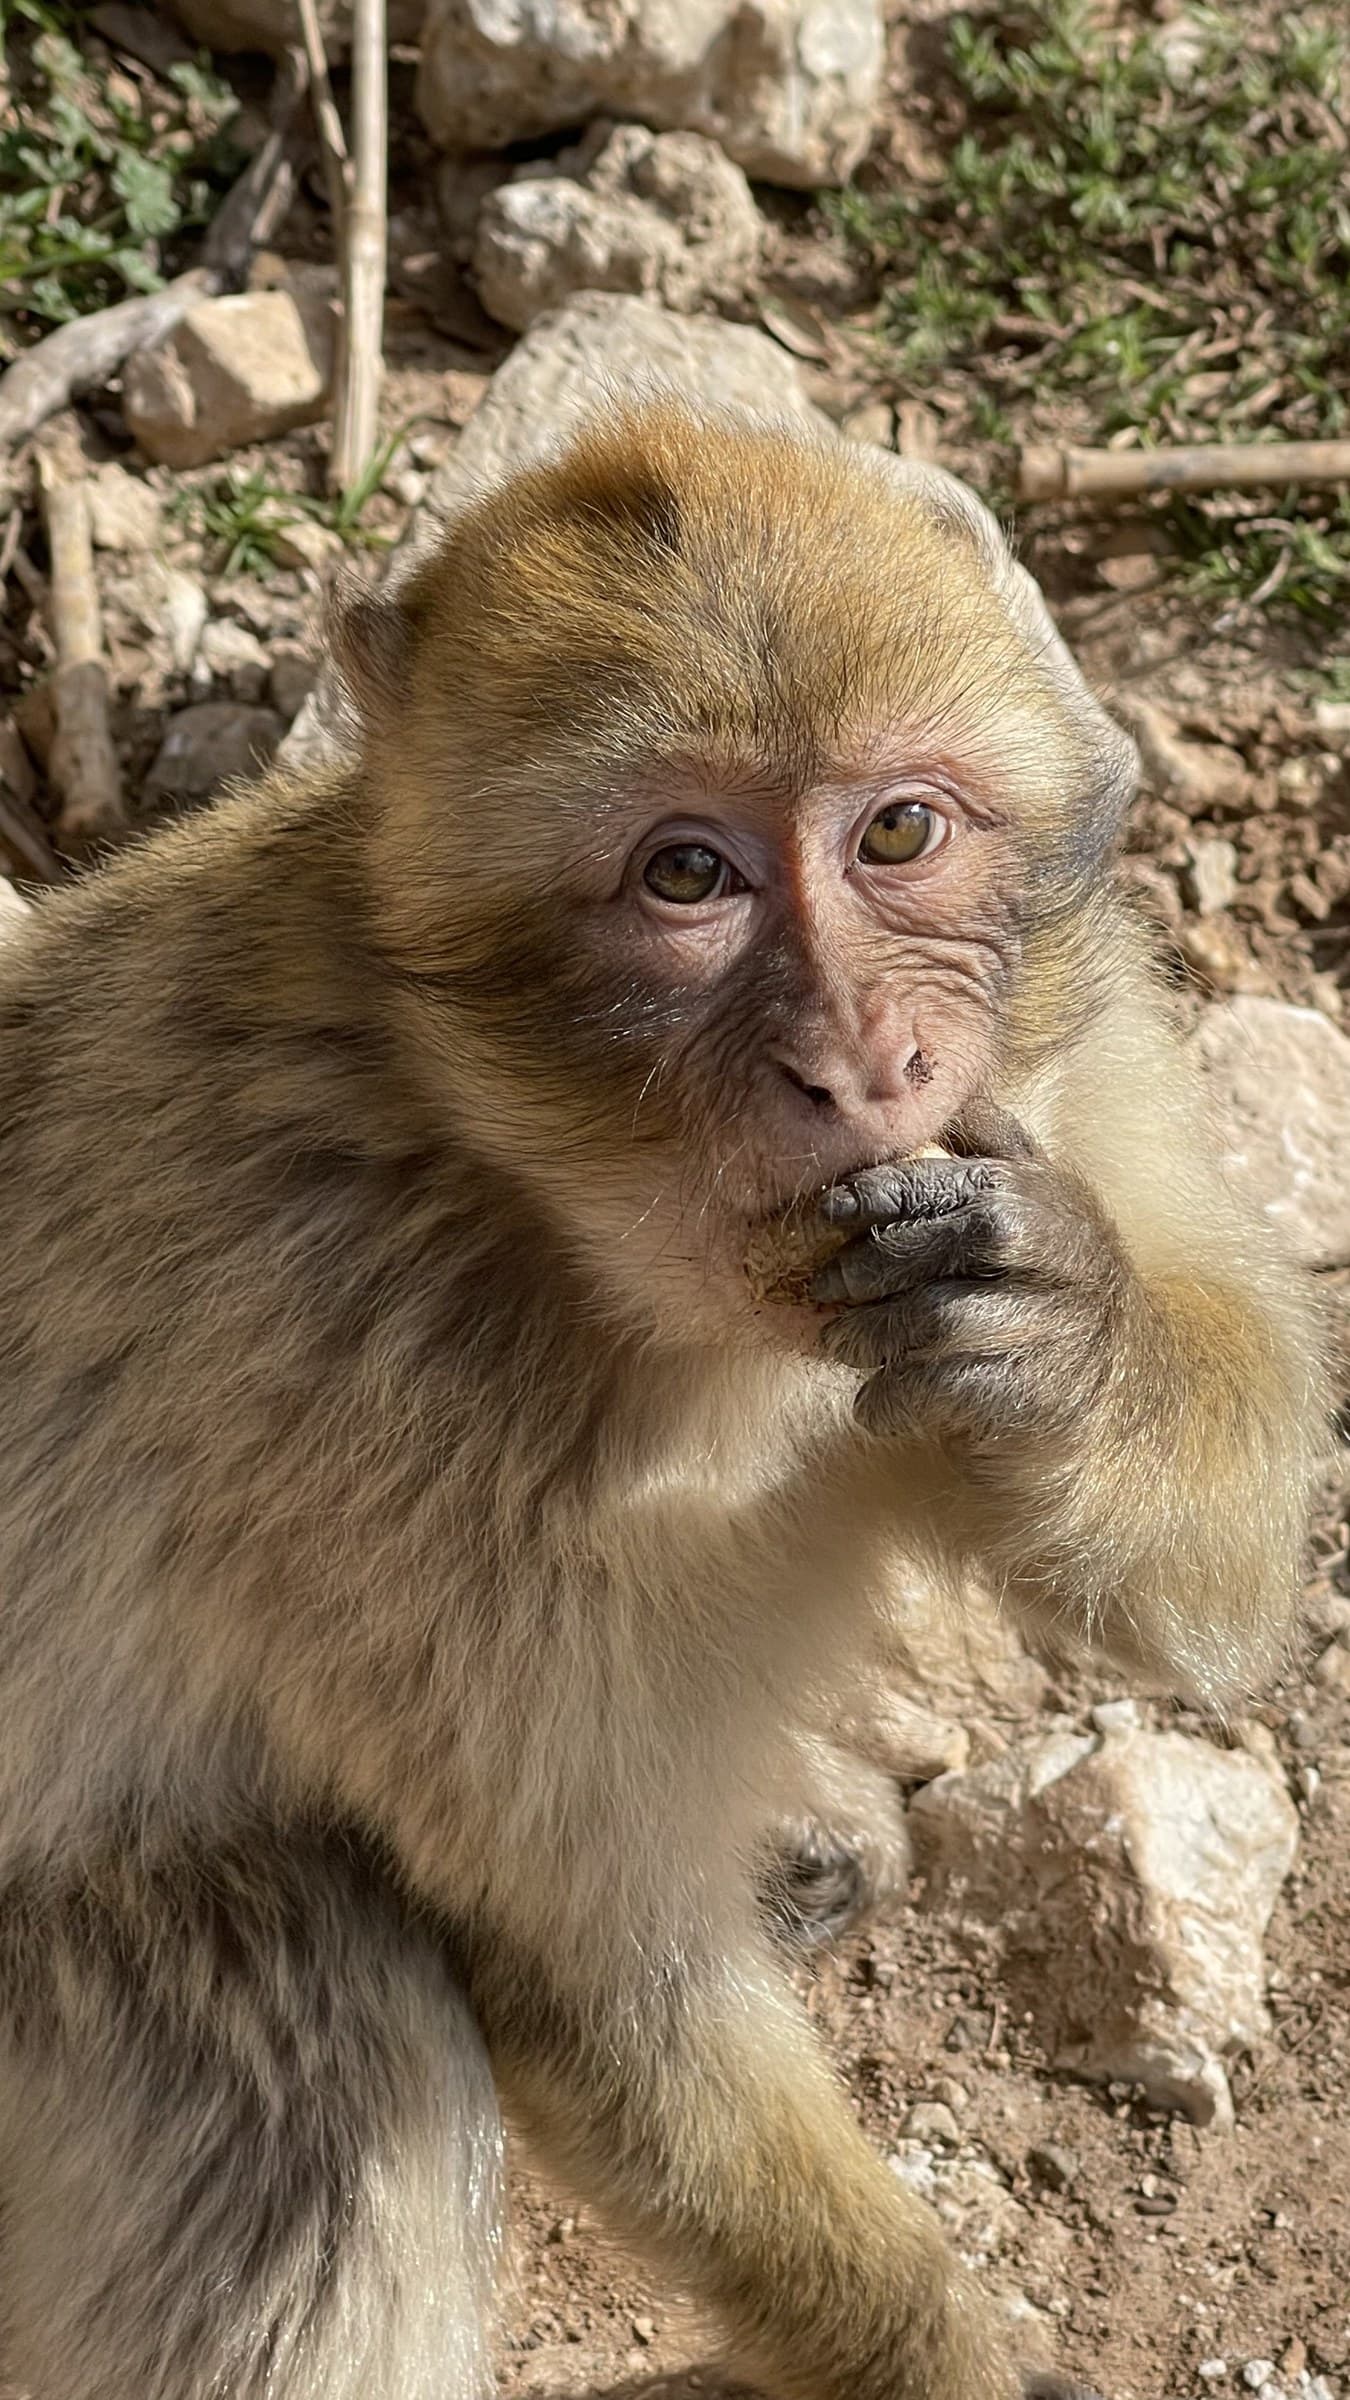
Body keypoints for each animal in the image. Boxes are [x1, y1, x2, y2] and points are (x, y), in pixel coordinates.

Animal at [0, 400, 1323, 2400]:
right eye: (686, 876)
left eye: (900, 829)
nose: (862, 1061)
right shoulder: (349, 1387)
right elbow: (601, 1980)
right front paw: (935, 2361)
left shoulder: (1064, 1056)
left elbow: (1223, 1578)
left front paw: (1061, 1328)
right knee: (309, 2024)